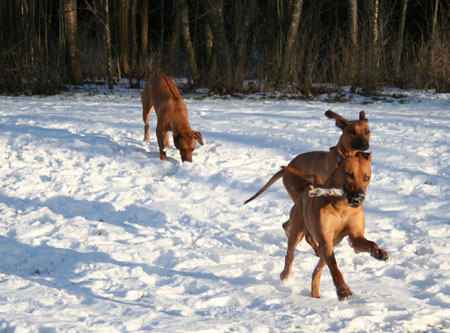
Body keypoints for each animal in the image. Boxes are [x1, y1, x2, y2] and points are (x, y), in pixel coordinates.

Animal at [280, 152, 388, 300]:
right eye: (350, 174)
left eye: (367, 178)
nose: (359, 197)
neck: (343, 205)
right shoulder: (326, 238)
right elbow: (334, 266)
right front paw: (343, 290)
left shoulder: (355, 237)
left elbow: (370, 243)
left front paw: (378, 252)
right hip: (298, 231)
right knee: (290, 254)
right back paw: (285, 276)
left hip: (326, 248)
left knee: (317, 270)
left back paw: (315, 295)